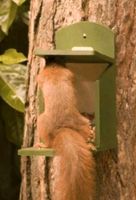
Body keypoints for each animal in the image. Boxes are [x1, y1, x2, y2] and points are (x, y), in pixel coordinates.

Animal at [36, 62, 95, 200]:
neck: (54, 69)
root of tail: (63, 128)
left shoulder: (43, 76)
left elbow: (38, 78)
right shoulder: (67, 73)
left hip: (41, 122)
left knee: (49, 143)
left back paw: (42, 145)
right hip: (83, 122)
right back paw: (89, 141)